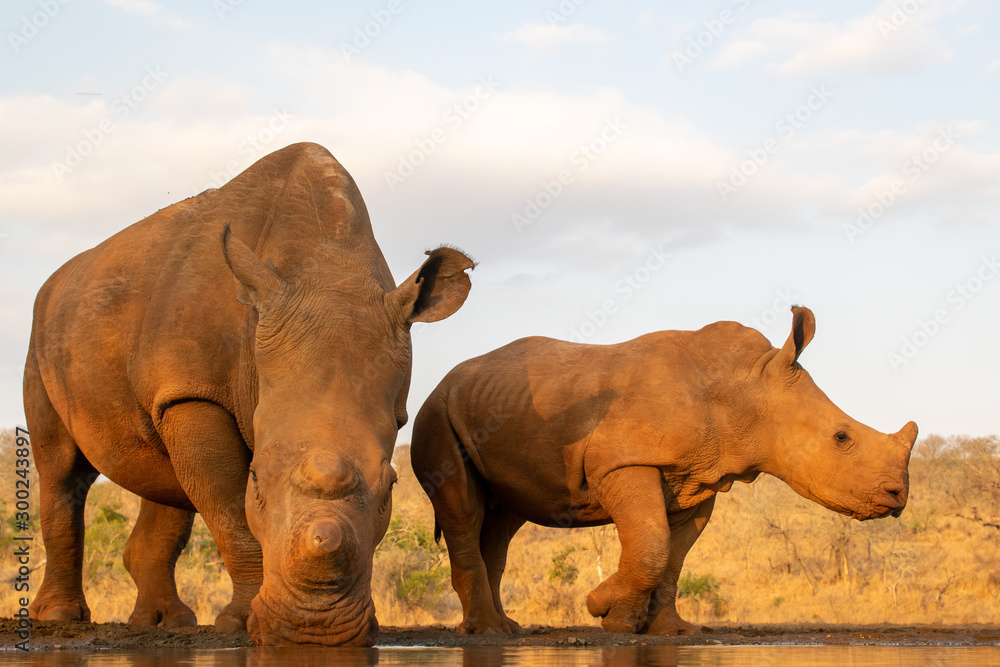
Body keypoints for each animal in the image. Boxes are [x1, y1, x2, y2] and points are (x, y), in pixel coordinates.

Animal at [24, 142, 474, 646]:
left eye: (392, 485)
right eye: (256, 478)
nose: (314, 631)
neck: (328, 271)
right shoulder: (196, 393)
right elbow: (229, 512)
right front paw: (242, 624)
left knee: (163, 477)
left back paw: (165, 621)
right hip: (43, 335)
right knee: (62, 468)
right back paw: (61, 616)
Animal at [410, 307, 917, 636]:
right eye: (842, 438)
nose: (898, 496)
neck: (745, 390)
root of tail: (445, 379)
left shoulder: (700, 478)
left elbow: (674, 556)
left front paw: (672, 631)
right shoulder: (624, 460)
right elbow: (652, 544)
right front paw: (605, 613)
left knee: (503, 520)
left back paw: (507, 628)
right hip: (435, 411)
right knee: (463, 510)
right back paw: (488, 633)